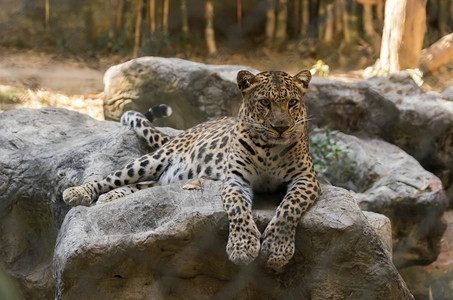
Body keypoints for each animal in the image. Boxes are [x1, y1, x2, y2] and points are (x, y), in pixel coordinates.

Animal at [61, 69, 320, 270]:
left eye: (292, 103)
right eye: (265, 103)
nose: (281, 128)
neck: (270, 149)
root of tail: (188, 130)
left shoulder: (306, 179)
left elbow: (289, 209)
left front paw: (277, 250)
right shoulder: (235, 181)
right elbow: (238, 210)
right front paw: (243, 248)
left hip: (167, 178)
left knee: (141, 186)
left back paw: (111, 197)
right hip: (151, 160)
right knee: (114, 177)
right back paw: (79, 192)